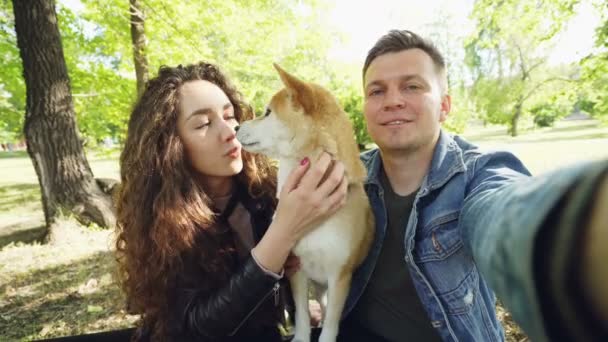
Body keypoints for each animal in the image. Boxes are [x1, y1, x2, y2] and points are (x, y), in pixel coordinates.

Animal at [235, 65, 372, 342]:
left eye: (267, 112)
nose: (235, 126)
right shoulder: (297, 270)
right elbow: (301, 315)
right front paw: (301, 336)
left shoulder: (340, 276)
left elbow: (330, 324)